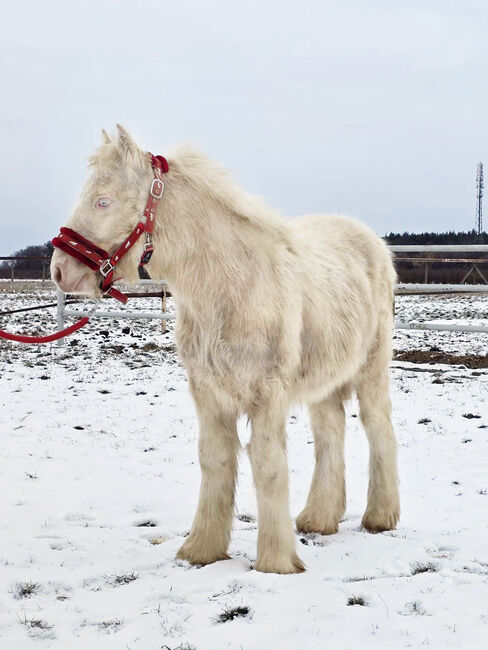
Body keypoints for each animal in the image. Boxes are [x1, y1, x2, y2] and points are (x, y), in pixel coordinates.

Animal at [51, 125, 398, 572]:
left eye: (103, 200)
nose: (60, 271)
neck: (231, 286)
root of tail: (373, 243)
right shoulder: (208, 394)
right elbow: (215, 461)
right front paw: (201, 550)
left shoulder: (267, 394)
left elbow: (268, 466)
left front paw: (276, 562)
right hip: (322, 381)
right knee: (330, 432)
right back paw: (319, 519)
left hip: (372, 370)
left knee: (379, 428)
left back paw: (380, 517)